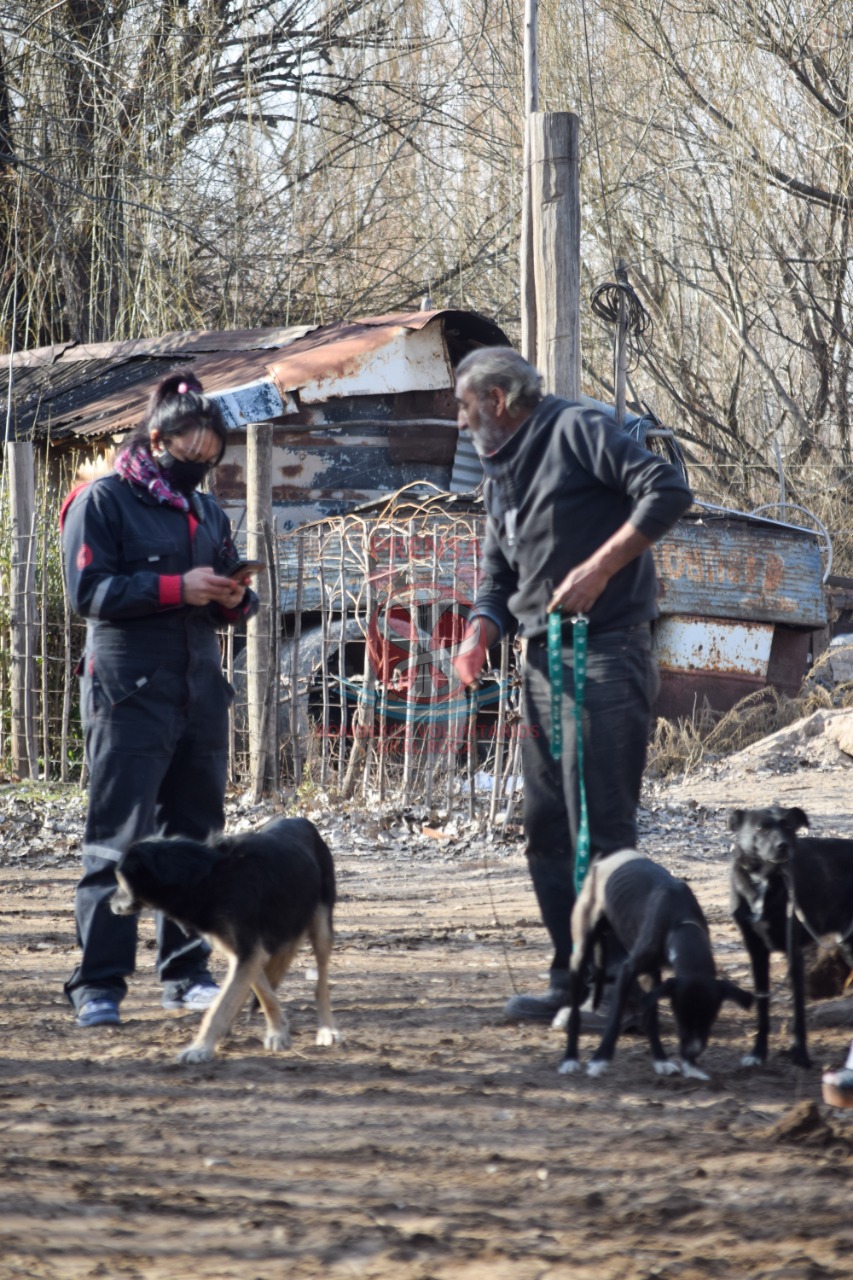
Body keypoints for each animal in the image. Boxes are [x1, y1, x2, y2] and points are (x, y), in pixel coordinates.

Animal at [111, 816, 339, 1064]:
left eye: (120, 879)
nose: (110, 904)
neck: (204, 878)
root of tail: (302, 820)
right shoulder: (244, 952)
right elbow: (261, 994)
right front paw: (277, 1031)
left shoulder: (248, 953)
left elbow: (220, 1007)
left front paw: (200, 1048)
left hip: (321, 927)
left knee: (321, 985)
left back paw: (327, 1029)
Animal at [559, 849, 752, 1080]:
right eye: (681, 1018)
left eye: (710, 1018)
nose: (692, 1053)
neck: (680, 922)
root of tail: (600, 862)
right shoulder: (628, 970)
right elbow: (614, 1019)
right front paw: (599, 1060)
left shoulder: (652, 976)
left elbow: (652, 1019)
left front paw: (666, 1061)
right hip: (580, 953)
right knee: (575, 1012)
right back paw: (569, 1059)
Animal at [729, 805, 853, 1068]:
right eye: (760, 828)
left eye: (787, 825)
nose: (783, 846)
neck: (764, 881)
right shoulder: (756, 952)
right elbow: (762, 1005)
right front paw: (758, 1052)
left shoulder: (794, 954)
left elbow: (798, 1012)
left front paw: (801, 1055)